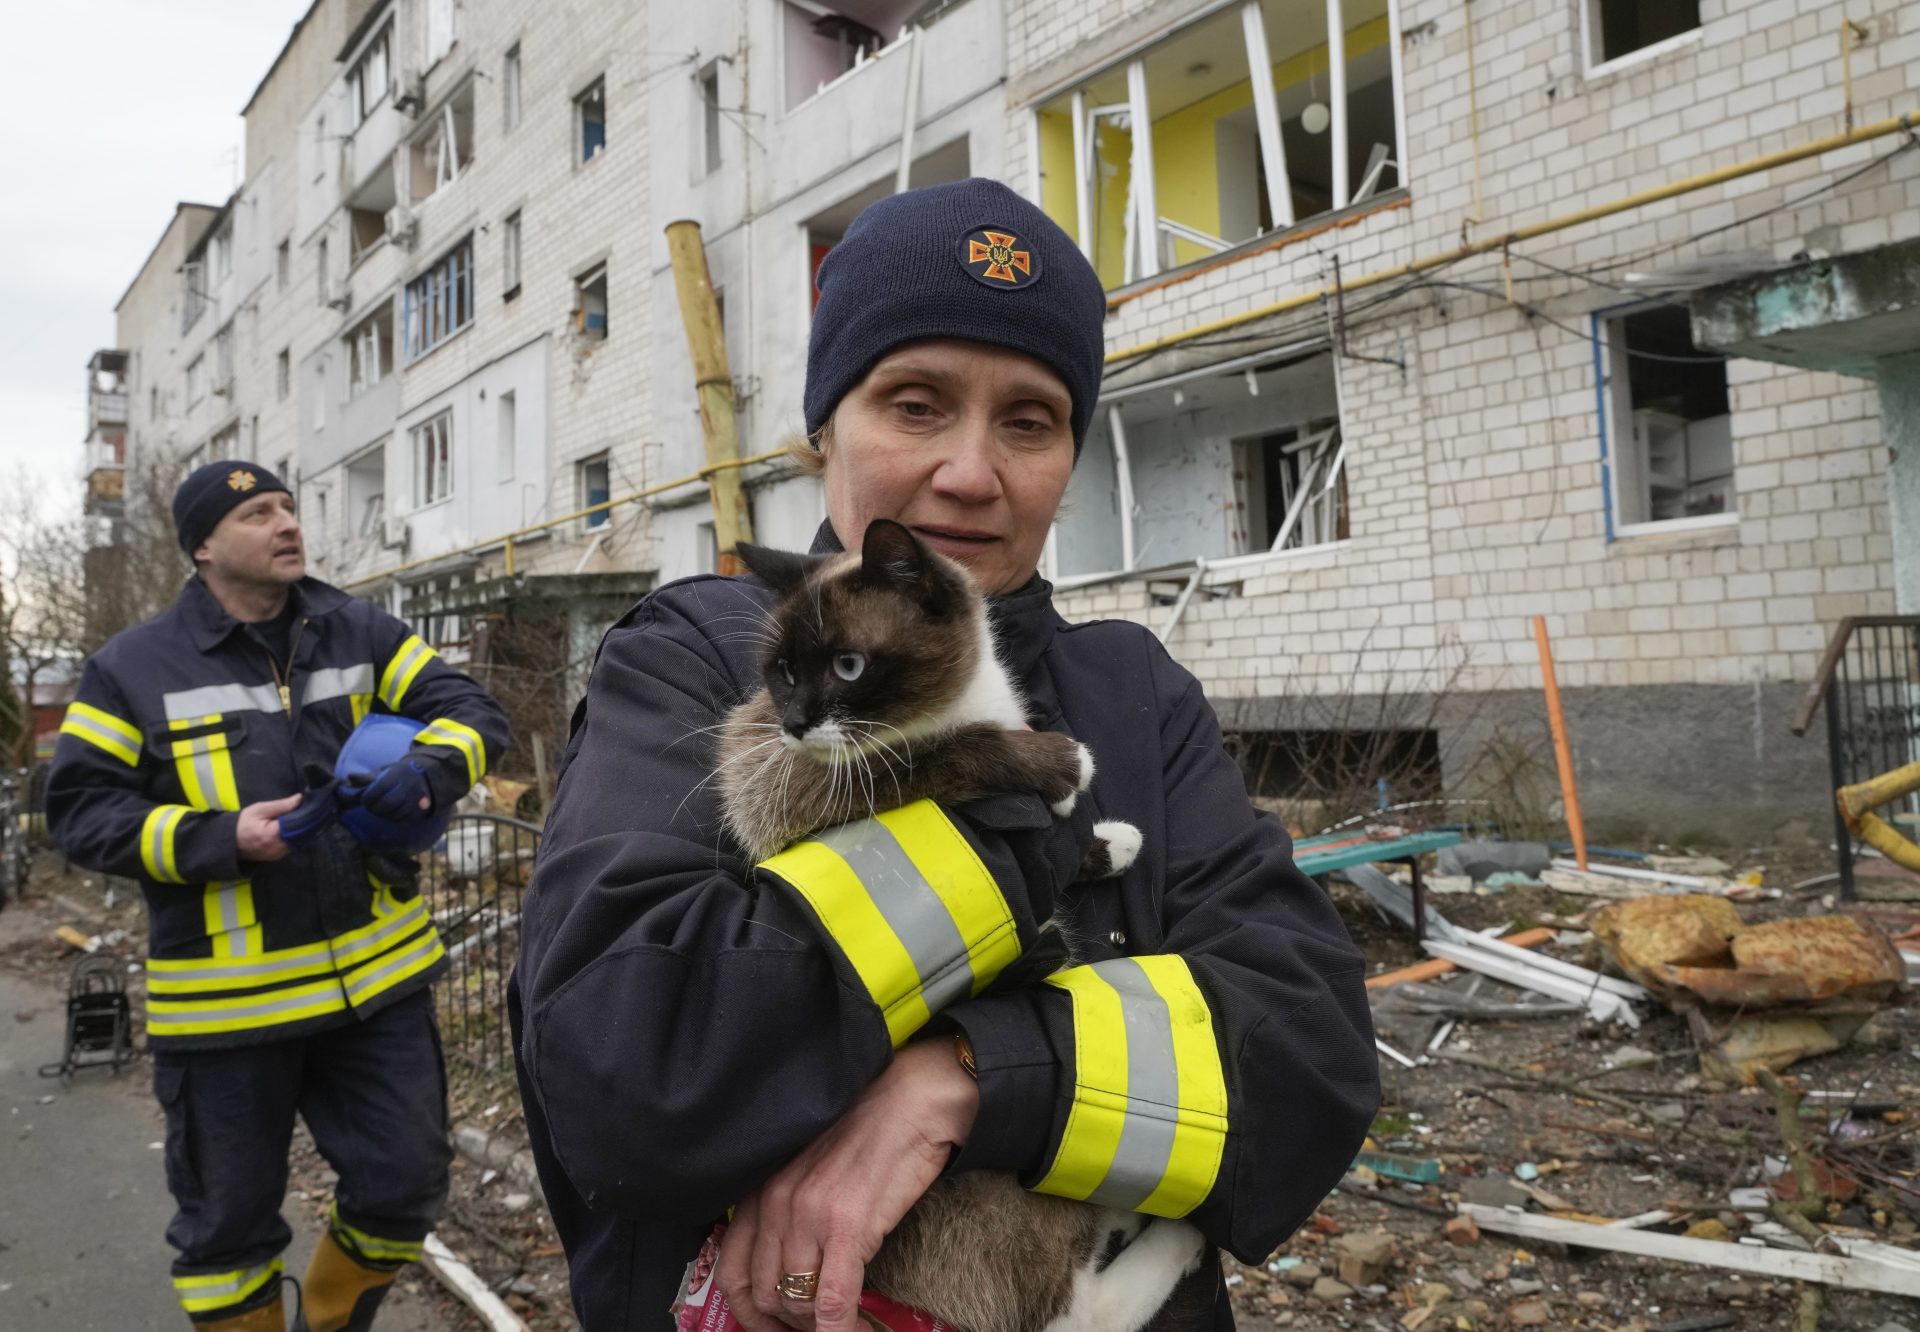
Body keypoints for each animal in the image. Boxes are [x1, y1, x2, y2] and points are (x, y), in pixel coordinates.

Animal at [714, 522, 1205, 1332]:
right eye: (782, 673)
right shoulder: (798, 781)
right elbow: (946, 753)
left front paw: (1109, 841)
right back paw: (1176, 1233)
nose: (795, 723)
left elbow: (1057, 838)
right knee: (1075, 1306)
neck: (967, 698)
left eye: (848, 666)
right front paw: (1065, 767)